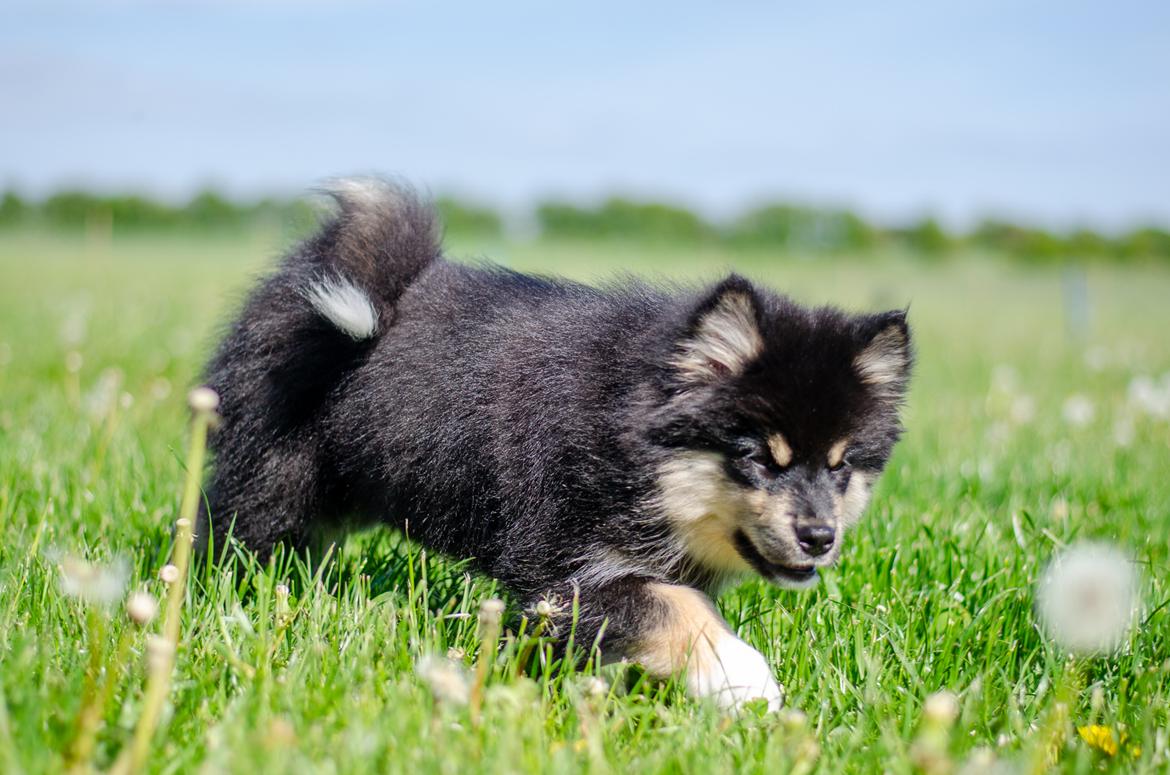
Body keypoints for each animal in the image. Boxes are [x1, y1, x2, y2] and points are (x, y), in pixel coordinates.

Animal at [201, 179, 912, 711]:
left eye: (841, 467)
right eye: (759, 457)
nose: (819, 537)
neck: (628, 435)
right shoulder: (567, 562)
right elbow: (671, 608)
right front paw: (743, 678)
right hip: (276, 482)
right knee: (238, 534)